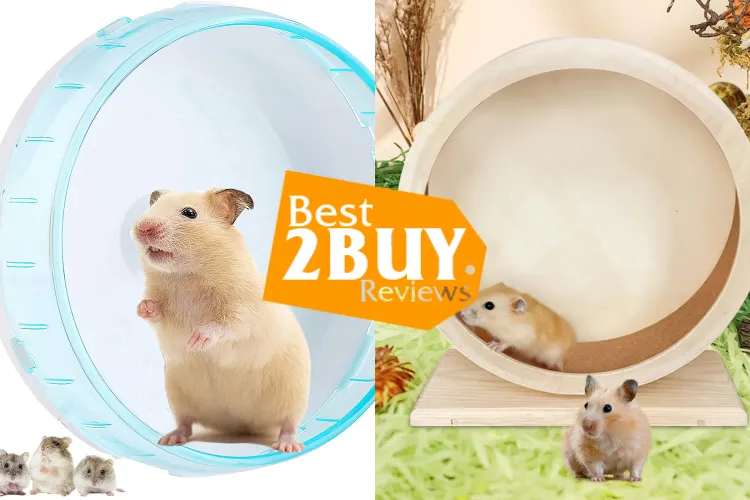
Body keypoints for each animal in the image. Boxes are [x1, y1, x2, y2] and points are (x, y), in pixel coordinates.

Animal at [132, 188, 311, 452]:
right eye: (151, 208)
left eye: (189, 213)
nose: (143, 227)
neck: (186, 275)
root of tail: (241, 426)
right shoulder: (164, 315)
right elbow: (156, 314)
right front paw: (142, 308)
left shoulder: (244, 310)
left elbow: (227, 325)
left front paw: (196, 340)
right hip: (178, 395)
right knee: (185, 423)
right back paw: (169, 439)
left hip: (293, 395)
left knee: (288, 424)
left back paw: (288, 445)